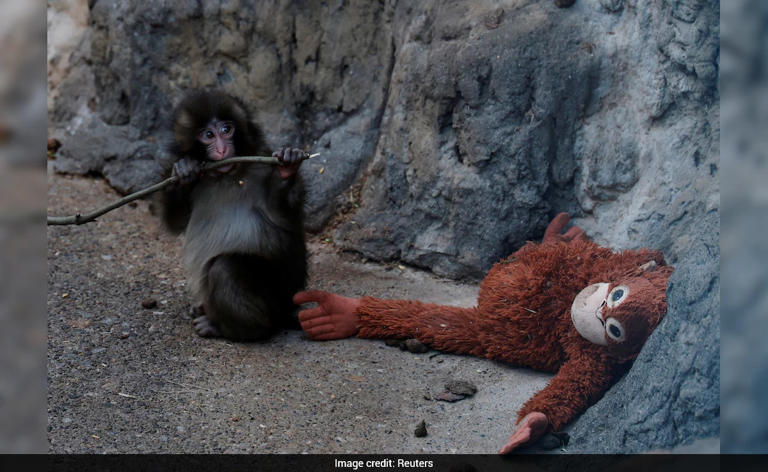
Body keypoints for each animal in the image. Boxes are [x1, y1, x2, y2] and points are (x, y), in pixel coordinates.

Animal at [161, 90, 307, 341]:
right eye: (209, 135)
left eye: (226, 129)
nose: (222, 150)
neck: (225, 176)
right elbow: (175, 221)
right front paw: (184, 171)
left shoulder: (261, 163)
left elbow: (285, 217)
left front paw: (286, 169)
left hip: (277, 296)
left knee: (225, 267)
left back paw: (234, 329)